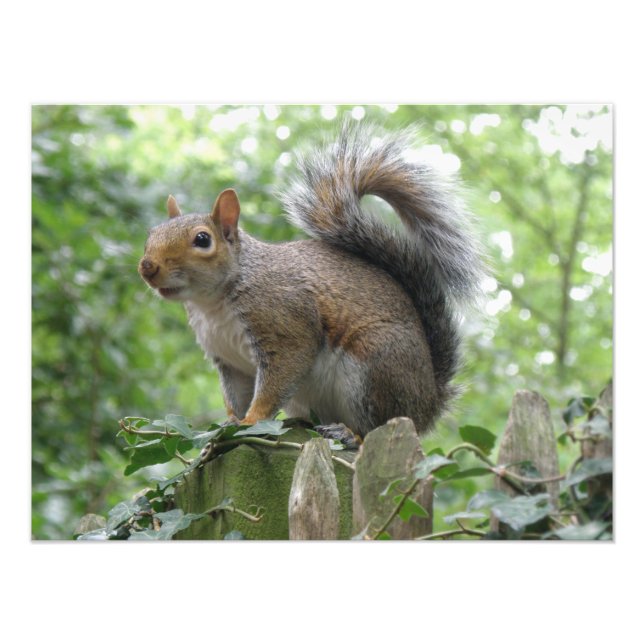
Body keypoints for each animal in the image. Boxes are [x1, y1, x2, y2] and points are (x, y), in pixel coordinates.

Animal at [138, 122, 486, 444]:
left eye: (202, 239)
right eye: (152, 234)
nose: (147, 267)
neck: (213, 303)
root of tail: (429, 403)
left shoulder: (285, 326)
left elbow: (278, 379)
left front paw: (252, 421)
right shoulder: (230, 361)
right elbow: (235, 397)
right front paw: (227, 426)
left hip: (375, 366)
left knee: (378, 426)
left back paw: (350, 434)